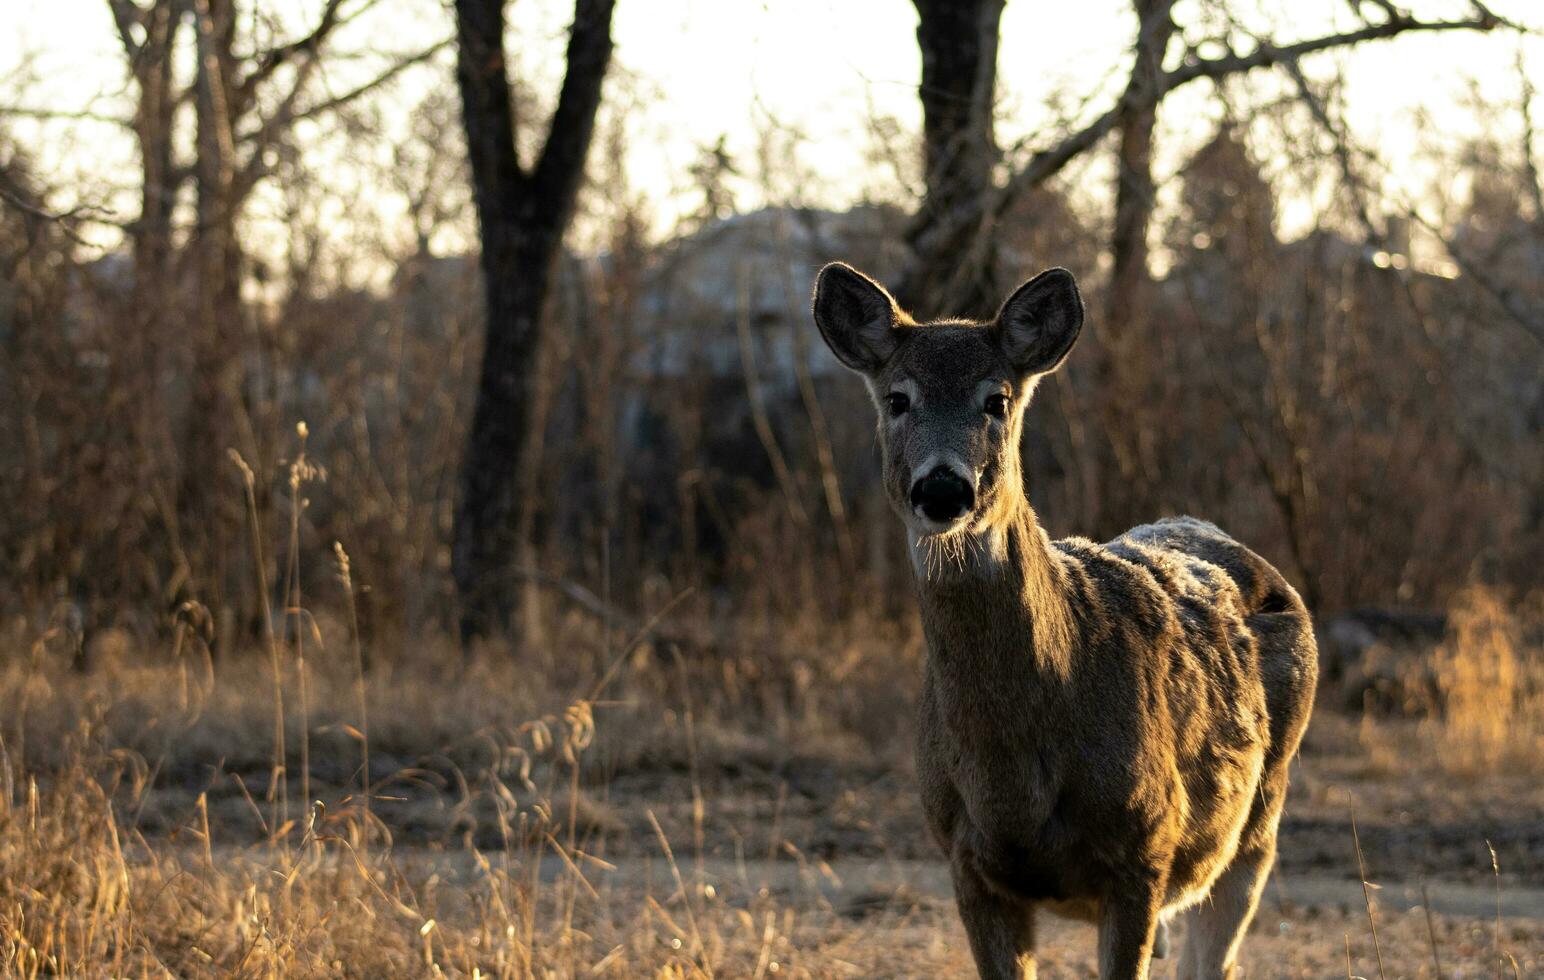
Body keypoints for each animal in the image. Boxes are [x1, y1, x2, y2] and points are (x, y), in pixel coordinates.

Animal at [809, 262, 1315, 980]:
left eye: (996, 400)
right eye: (897, 398)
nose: (943, 488)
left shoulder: (1143, 851)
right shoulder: (965, 859)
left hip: (1258, 820)